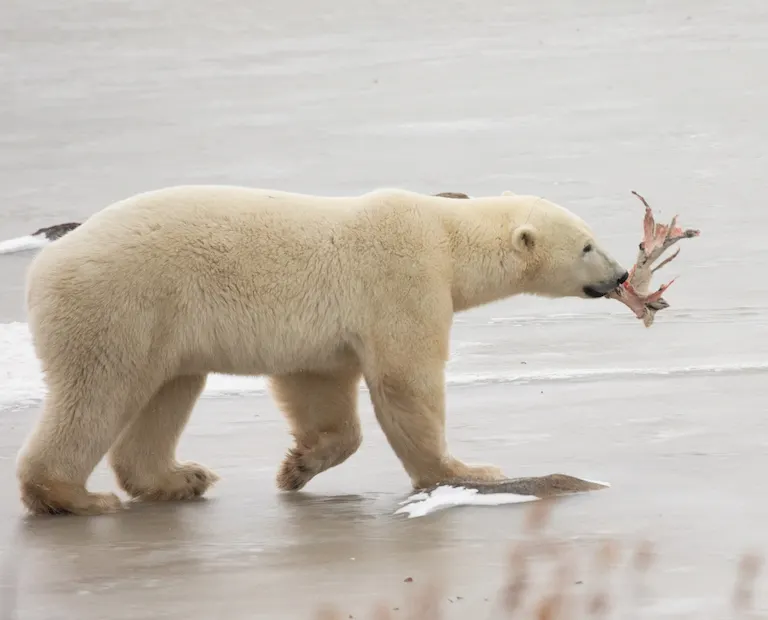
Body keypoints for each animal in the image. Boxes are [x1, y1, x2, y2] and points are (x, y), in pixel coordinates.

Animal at [15, 185, 629, 516]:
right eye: (587, 245)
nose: (622, 274)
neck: (445, 233)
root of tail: (43, 267)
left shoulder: (320, 339)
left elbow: (318, 386)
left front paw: (299, 467)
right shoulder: (403, 279)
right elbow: (406, 380)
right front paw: (464, 470)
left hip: (163, 322)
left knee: (167, 390)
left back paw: (180, 477)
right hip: (121, 304)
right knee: (98, 392)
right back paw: (72, 495)